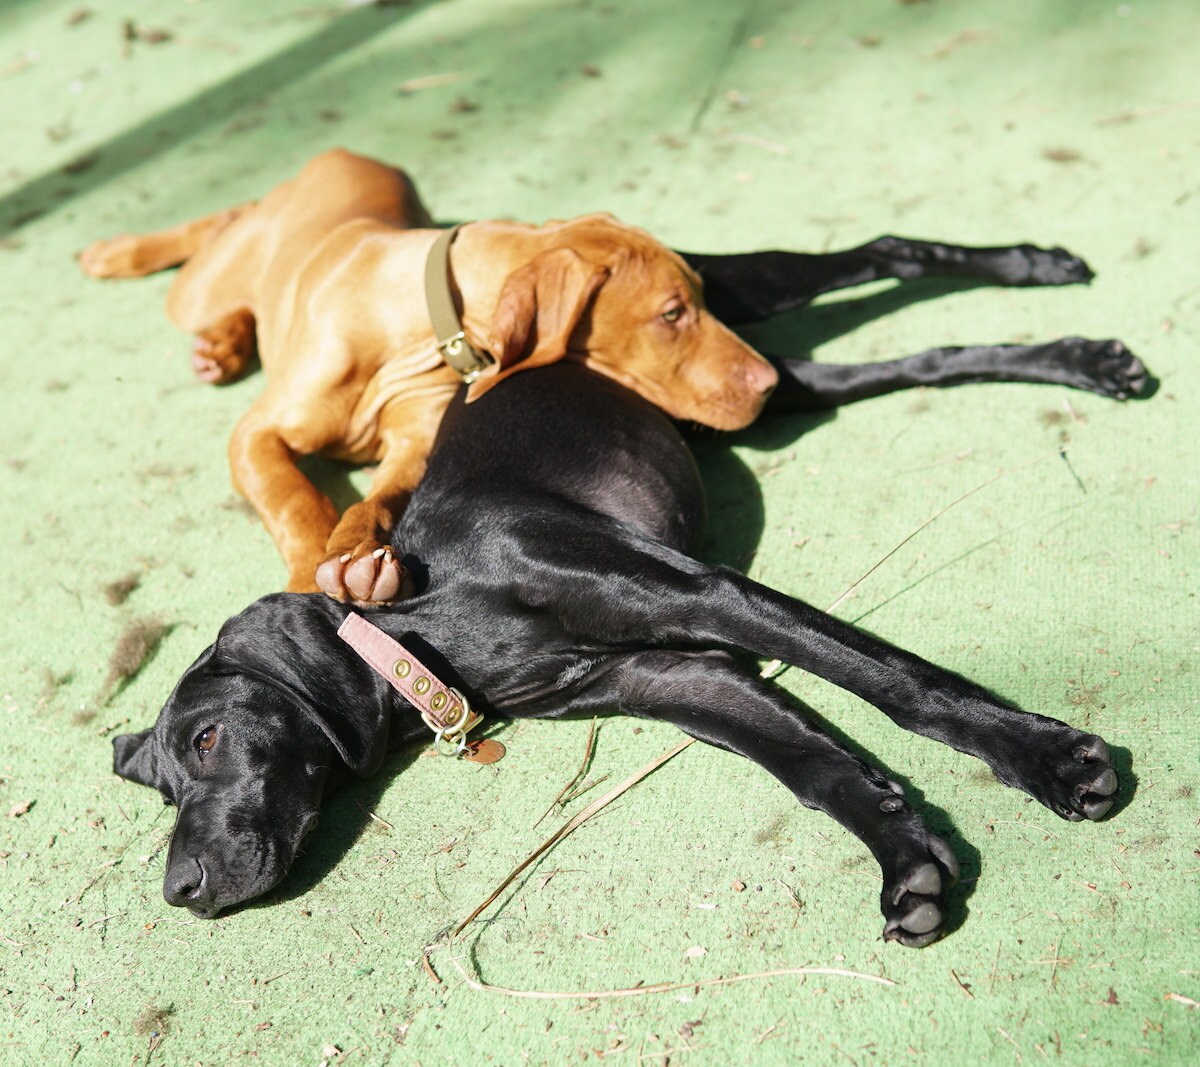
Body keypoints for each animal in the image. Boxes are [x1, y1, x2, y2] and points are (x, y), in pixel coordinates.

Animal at [84, 147, 777, 602]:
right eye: (672, 313)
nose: (769, 382)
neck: (413, 325)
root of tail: (346, 152)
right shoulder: (255, 436)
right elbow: (295, 499)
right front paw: (309, 570)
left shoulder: (416, 442)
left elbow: (376, 500)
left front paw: (353, 558)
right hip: (203, 283)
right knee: (222, 224)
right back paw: (122, 253)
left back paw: (222, 345)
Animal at [114, 238, 1142, 940]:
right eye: (162, 795)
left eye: (207, 738)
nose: (180, 890)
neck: (438, 625)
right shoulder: (680, 676)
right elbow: (817, 767)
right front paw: (906, 861)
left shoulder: (703, 593)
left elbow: (898, 680)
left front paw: (1048, 760)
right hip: (758, 391)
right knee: (912, 362)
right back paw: (1082, 359)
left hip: (740, 297)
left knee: (882, 249)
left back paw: (1034, 263)